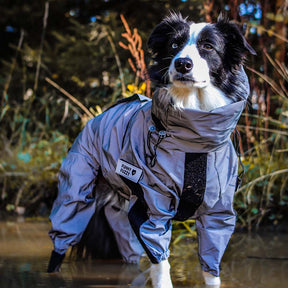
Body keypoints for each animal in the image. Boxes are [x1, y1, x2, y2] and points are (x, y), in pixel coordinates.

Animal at [47, 12, 256, 288]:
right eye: (174, 45)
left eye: (208, 46)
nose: (183, 64)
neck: (194, 140)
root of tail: (96, 118)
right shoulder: (151, 208)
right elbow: (161, 262)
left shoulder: (218, 215)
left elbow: (211, 267)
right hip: (77, 192)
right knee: (63, 237)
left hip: (120, 213)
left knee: (127, 248)